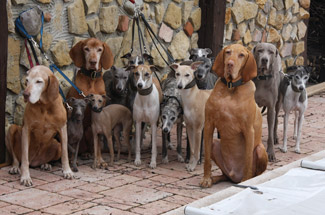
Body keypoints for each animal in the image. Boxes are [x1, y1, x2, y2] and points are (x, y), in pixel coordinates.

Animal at [199, 44, 268, 187]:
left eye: (241, 55)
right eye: (228, 52)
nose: (229, 64)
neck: (230, 87)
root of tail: (234, 176)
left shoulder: (248, 130)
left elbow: (248, 160)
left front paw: (246, 181)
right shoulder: (208, 125)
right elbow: (206, 159)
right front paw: (206, 178)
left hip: (260, 149)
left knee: (255, 173)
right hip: (215, 143)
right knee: (224, 175)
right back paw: (214, 179)